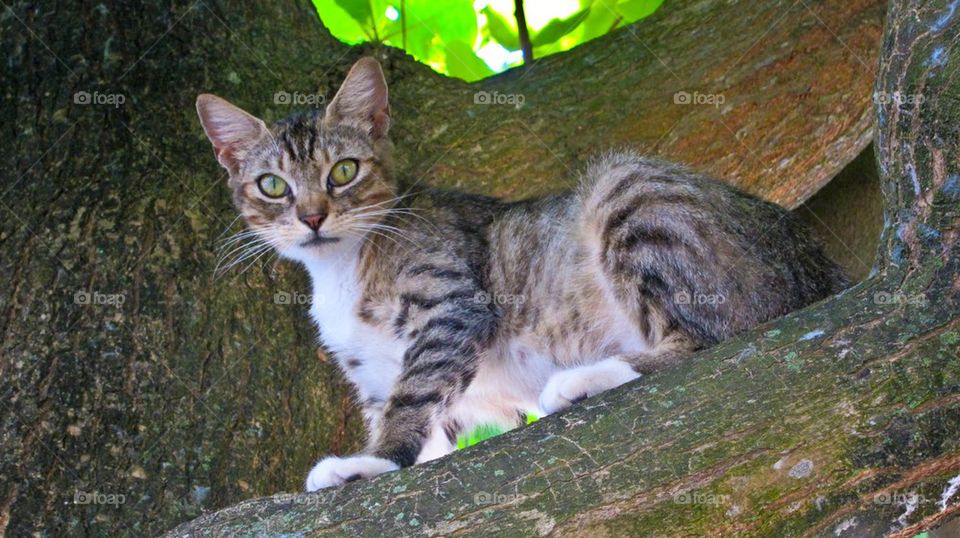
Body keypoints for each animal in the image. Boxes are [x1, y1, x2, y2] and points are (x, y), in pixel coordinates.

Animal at [193, 56, 848, 488]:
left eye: (344, 171)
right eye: (271, 185)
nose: (311, 217)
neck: (342, 266)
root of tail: (816, 256)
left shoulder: (451, 308)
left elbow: (414, 395)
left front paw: (373, 460)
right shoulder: (375, 375)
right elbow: (420, 421)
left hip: (625, 189)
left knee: (710, 337)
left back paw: (585, 379)